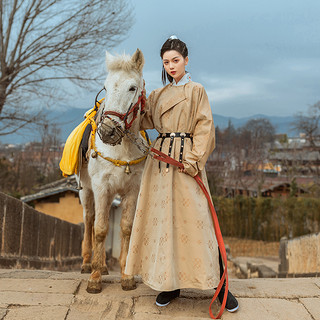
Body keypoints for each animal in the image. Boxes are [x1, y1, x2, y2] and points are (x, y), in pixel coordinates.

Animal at [77, 49, 146, 292]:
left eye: (132, 87)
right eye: (106, 88)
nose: (107, 131)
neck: (121, 148)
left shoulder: (132, 189)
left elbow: (125, 228)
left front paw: (126, 275)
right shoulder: (101, 187)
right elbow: (100, 229)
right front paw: (95, 278)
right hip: (85, 190)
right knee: (89, 219)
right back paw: (88, 263)